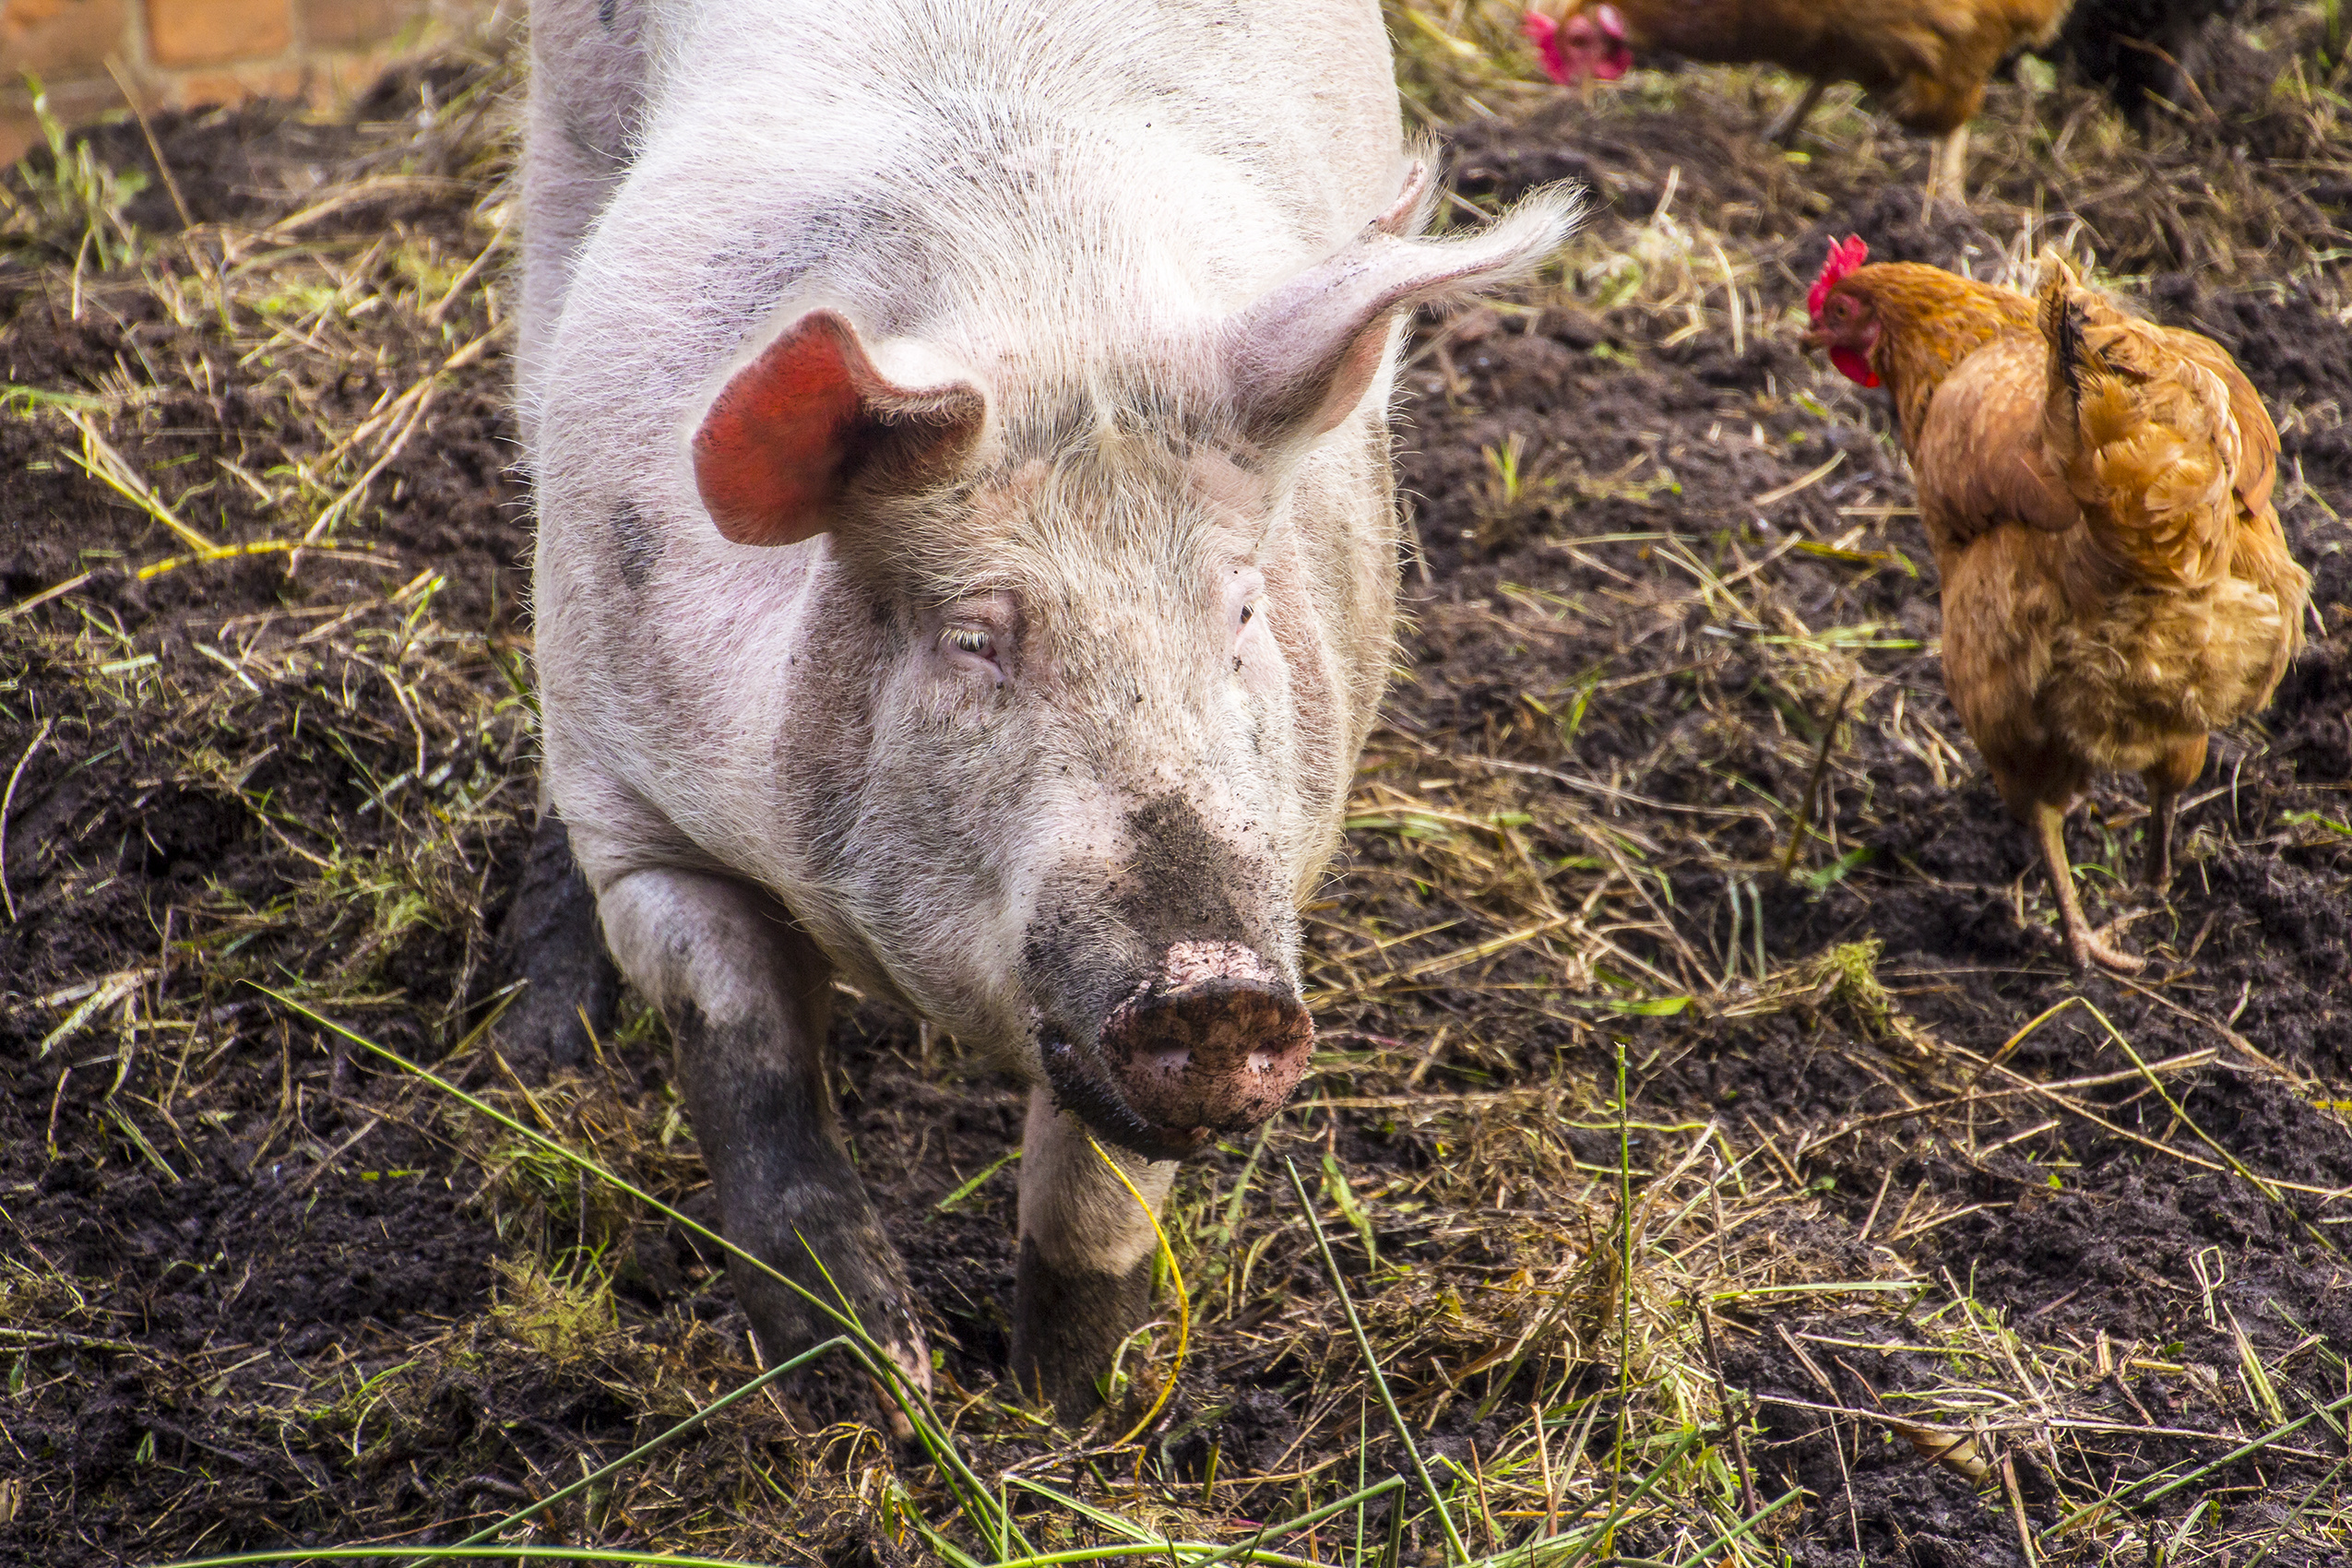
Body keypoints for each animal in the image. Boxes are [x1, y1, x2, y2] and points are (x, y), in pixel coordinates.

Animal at [515, 0, 1580, 1420]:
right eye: (975, 640)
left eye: (1242, 611)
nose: (1215, 986)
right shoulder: (636, 803)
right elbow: (750, 1067)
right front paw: (877, 1396)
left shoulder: (1265, 881)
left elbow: (1100, 1191)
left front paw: (1069, 1412)